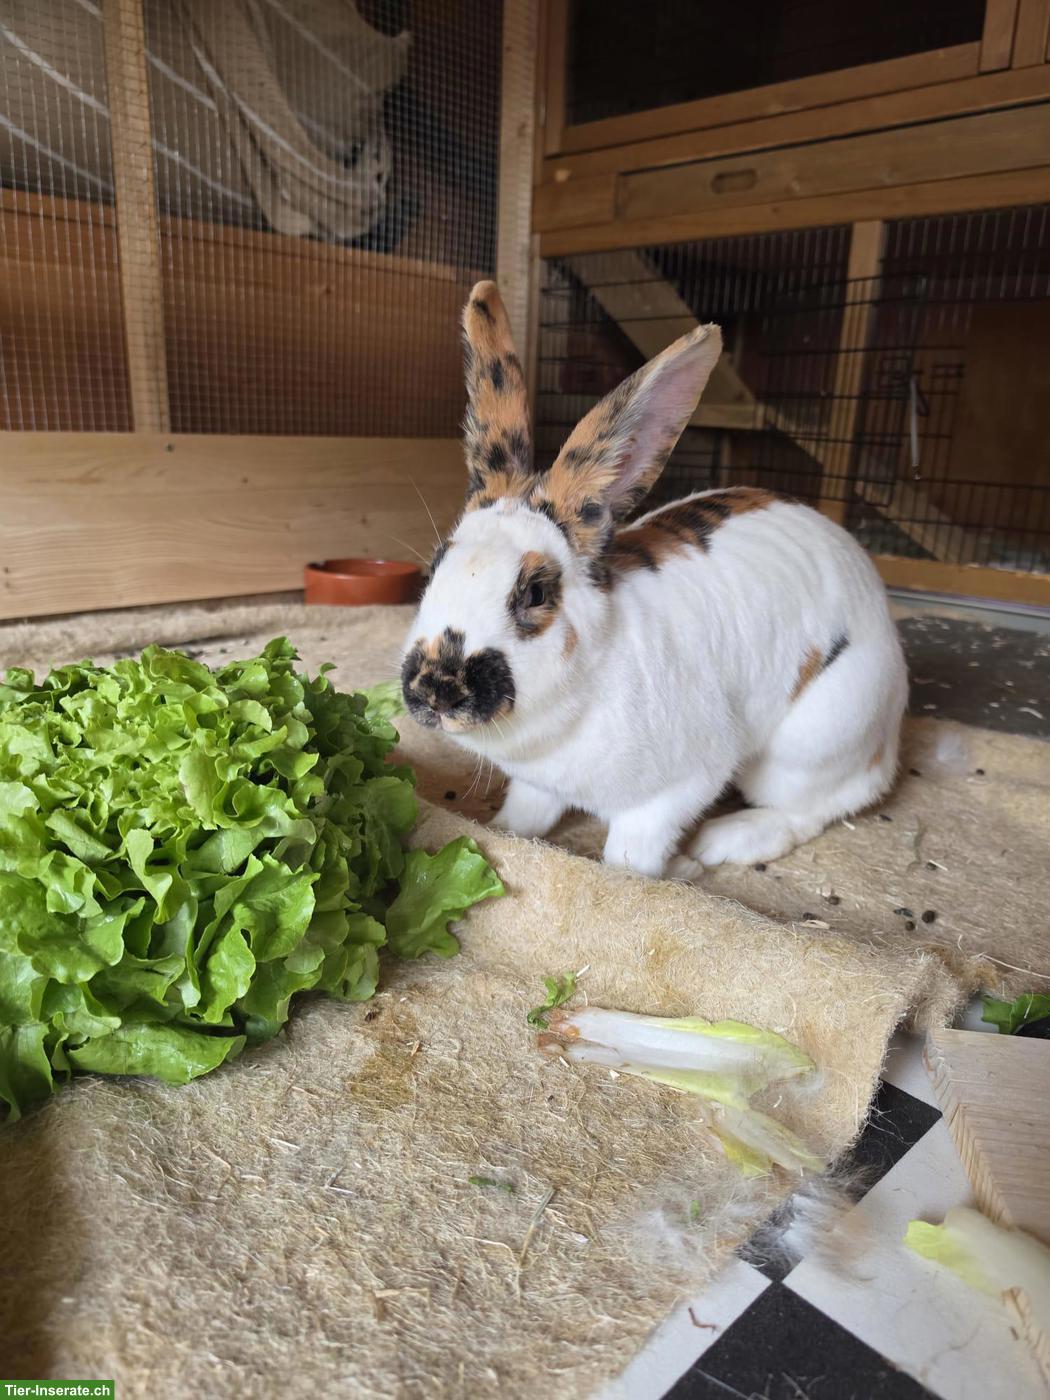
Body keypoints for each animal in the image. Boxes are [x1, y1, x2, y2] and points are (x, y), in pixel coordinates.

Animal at [400, 280, 908, 879]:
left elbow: (629, 856)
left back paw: (721, 844)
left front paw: (669, 874)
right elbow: (526, 816)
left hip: (812, 743)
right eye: (436, 565)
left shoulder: (674, 790)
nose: (435, 687)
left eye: (536, 593)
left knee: (815, 808)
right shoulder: (536, 786)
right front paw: (502, 832)